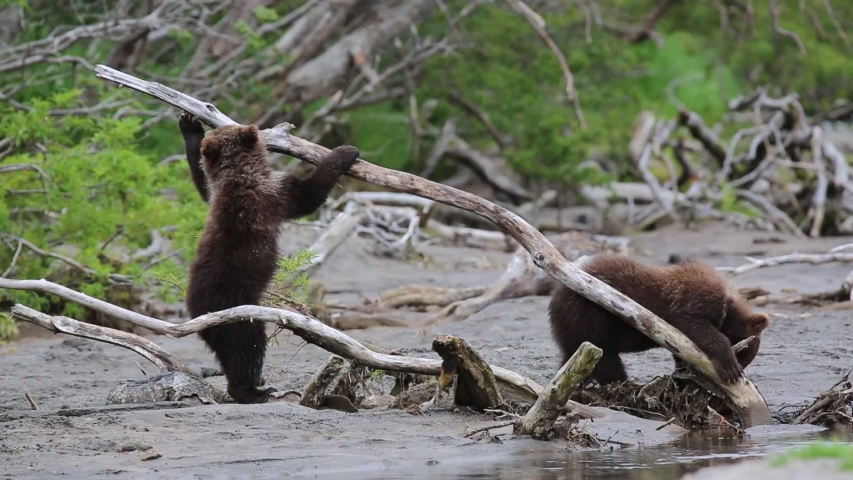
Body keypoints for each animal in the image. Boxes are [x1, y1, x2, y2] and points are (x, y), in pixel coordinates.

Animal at [178, 113, 360, 404]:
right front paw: (344, 152)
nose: (196, 123)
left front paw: (190, 126)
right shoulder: (274, 195)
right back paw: (253, 390)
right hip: (236, 311)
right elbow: (310, 194)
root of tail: (199, 314)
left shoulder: (219, 193)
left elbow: (202, 182)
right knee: (248, 346)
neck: (240, 176)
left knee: (227, 354)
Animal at [548, 253, 771, 385]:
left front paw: (684, 372)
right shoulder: (690, 302)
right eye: (743, 353)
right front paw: (730, 367)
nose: (741, 368)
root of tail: (555, 297)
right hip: (589, 318)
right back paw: (622, 384)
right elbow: (696, 326)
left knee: (576, 357)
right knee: (605, 358)